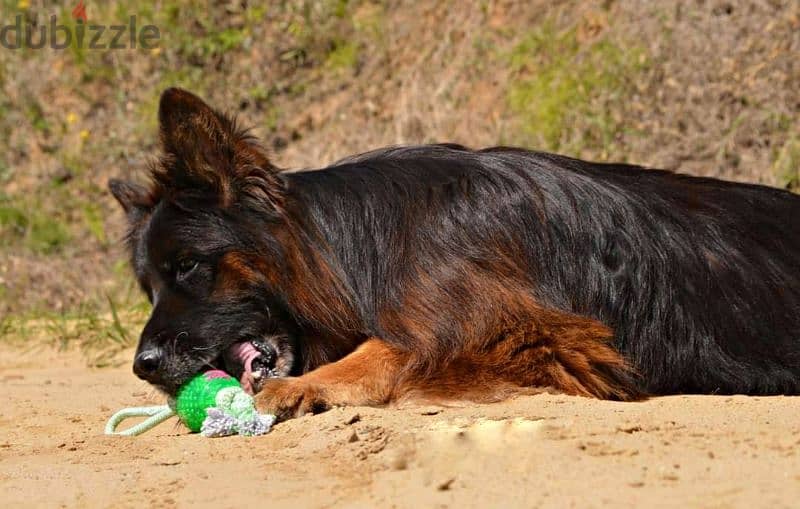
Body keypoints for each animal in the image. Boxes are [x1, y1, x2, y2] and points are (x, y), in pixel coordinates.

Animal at [108, 88, 800, 420]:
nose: (142, 368)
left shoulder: (544, 336)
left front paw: (306, 385)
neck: (358, 248)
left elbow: (392, 348)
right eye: (148, 288)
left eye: (188, 267)